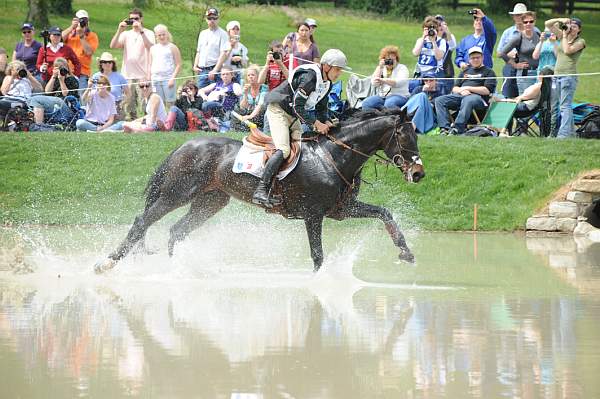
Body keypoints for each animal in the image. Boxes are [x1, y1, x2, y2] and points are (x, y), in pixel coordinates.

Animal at [94, 108, 424, 274]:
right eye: (403, 136)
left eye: (416, 135)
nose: (418, 173)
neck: (334, 156)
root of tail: (186, 144)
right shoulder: (314, 215)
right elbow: (318, 255)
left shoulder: (340, 211)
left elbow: (385, 214)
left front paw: (406, 252)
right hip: (177, 192)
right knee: (143, 221)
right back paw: (106, 263)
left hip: (211, 201)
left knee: (177, 230)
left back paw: (177, 270)